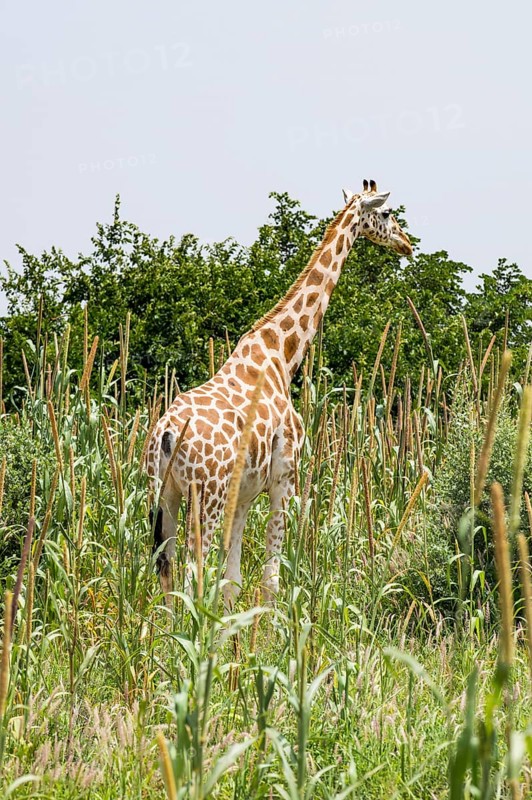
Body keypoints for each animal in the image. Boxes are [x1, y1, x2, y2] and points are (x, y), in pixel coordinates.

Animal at [146, 179, 412, 608]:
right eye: (388, 213)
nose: (407, 244)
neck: (282, 354)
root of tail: (167, 436)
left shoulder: (244, 493)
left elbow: (234, 580)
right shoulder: (287, 475)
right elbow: (270, 579)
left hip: (162, 494)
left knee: (166, 573)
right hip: (206, 496)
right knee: (191, 574)